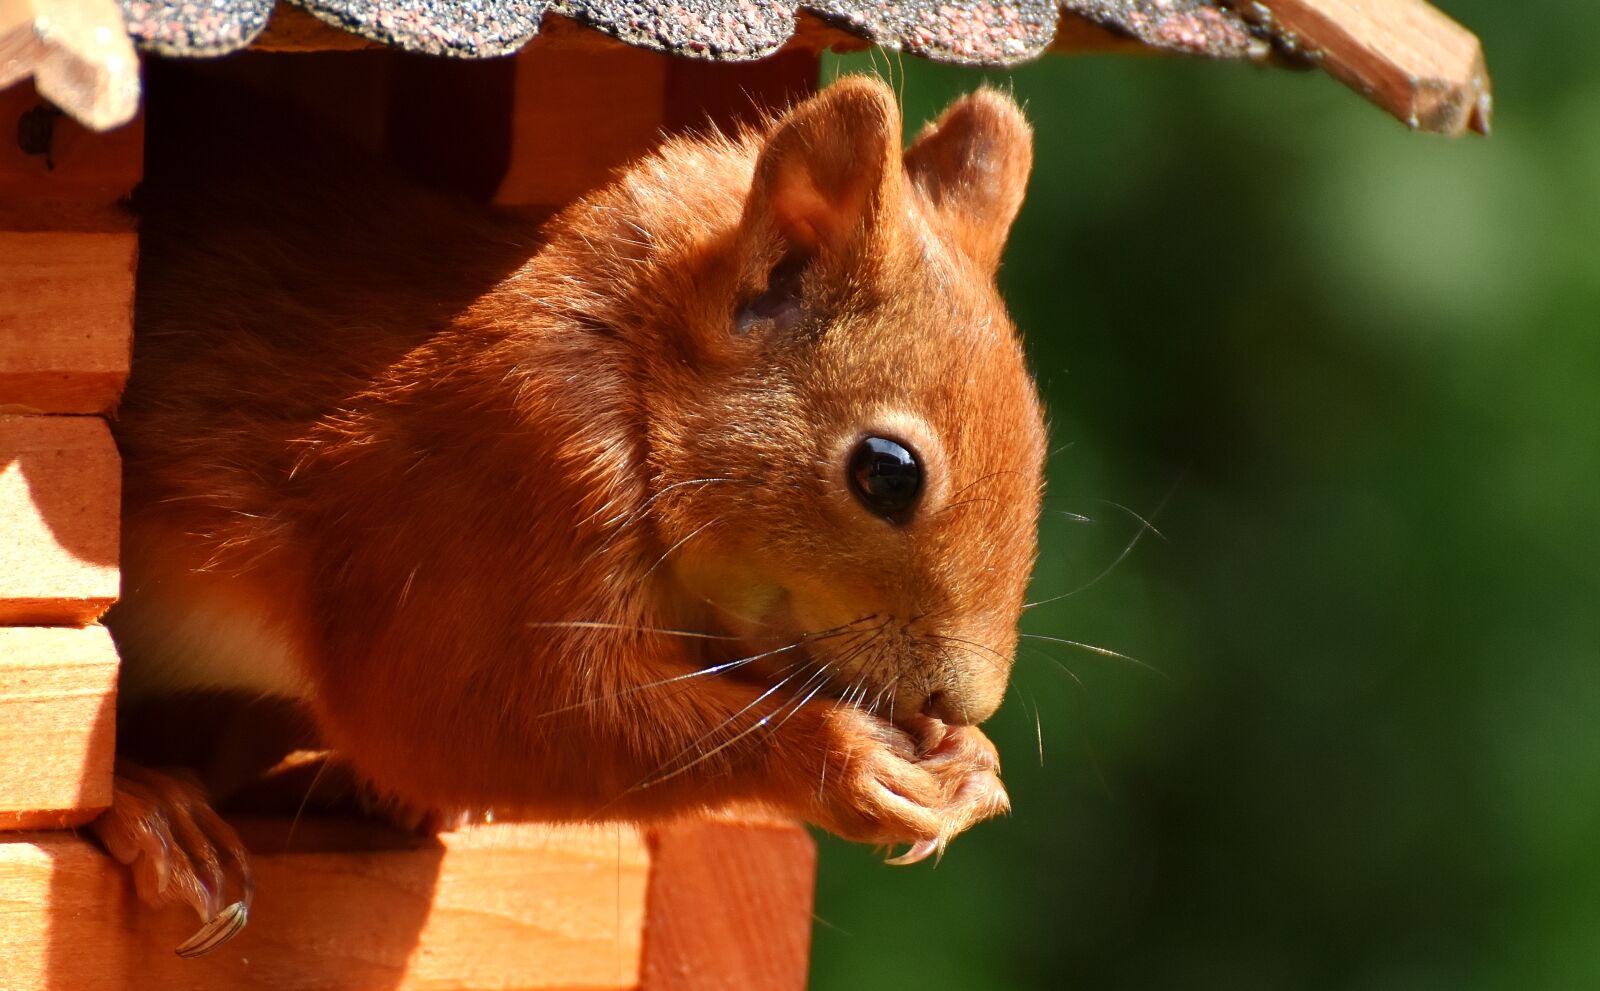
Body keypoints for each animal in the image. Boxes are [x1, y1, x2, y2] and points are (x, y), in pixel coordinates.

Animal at [94, 76, 1046, 955]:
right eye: (886, 473)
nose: (959, 699)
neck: (634, 368)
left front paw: (970, 762)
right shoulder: (486, 484)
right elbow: (453, 717)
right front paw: (843, 760)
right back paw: (151, 803)